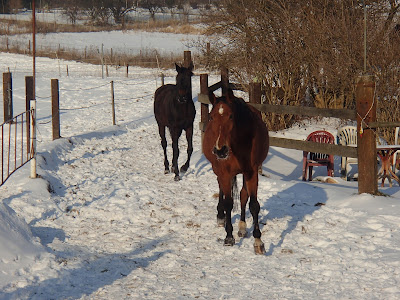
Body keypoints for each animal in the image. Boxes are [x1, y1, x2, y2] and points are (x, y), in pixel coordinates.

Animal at [203, 90, 268, 254]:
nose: (220, 150)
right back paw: (220, 216)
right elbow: (228, 203)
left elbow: (253, 204)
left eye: (231, 116)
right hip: (219, 170)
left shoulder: (251, 172)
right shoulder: (224, 173)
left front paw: (258, 241)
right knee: (221, 189)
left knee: (243, 195)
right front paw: (228, 236)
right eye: (211, 117)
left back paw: (242, 227)